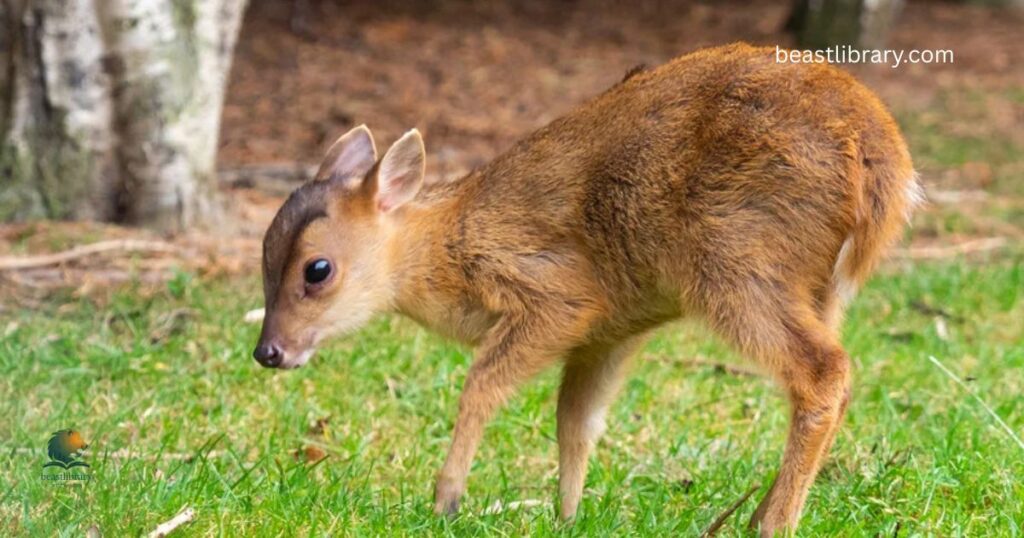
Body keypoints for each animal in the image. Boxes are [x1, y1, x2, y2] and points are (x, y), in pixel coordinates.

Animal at [252, 43, 921, 535]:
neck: (447, 249)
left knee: (824, 371)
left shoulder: (557, 295)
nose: (268, 352)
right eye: (263, 253)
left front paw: (446, 499)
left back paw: (772, 523)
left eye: (317, 269)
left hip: (737, 258)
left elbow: (481, 384)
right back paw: (762, 509)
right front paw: (566, 514)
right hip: (812, 286)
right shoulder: (610, 332)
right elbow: (576, 418)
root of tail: (886, 167)